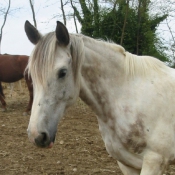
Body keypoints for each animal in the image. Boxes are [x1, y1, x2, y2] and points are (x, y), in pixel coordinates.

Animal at [24, 19, 175, 174]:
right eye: (31, 74)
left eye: (62, 72)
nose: (36, 135)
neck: (129, 97)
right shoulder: (127, 163)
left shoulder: (154, 161)